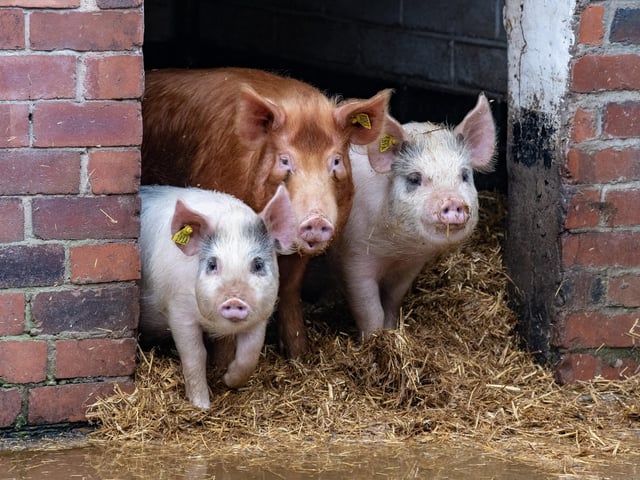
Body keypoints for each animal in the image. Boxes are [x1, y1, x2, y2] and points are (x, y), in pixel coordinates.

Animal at [138, 184, 296, 408]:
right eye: (212, 264)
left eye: (258, 264)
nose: (234, 299)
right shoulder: (178, 310)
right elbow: (195, 355)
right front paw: (201, 406)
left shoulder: (261, 316)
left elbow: (250, 354)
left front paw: (228, 380)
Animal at [141, 67, 392, 357]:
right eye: (284, 161)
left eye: (336, 161)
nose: (316, 220)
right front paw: (222, 362)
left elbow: (290, 288)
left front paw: (299, 354)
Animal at [329, 94, 496, 338]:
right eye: (415, 179)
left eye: (464, 175)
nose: (453, 202)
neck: (395, 250)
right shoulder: (353, 259)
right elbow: (369, 310)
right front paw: (375, 339)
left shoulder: (409, 266)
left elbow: (392, 301)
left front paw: (391, 329)